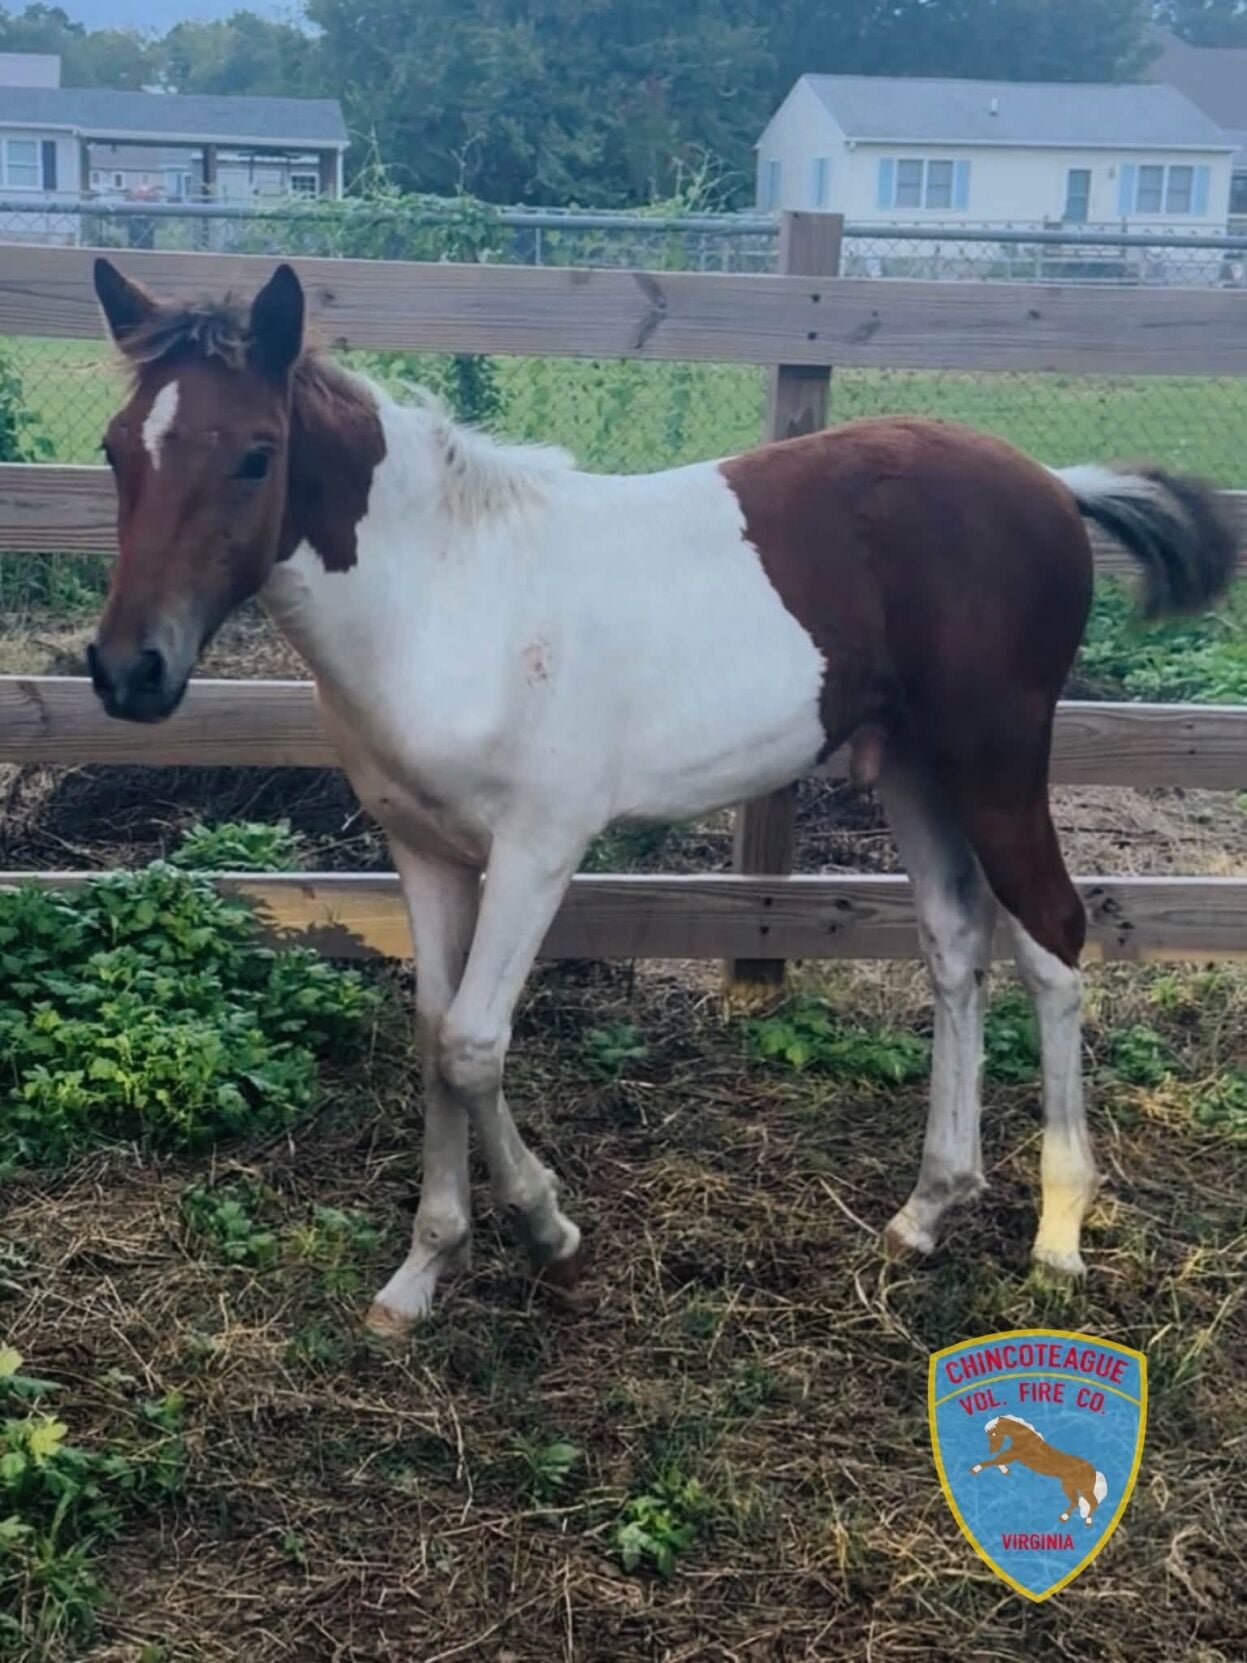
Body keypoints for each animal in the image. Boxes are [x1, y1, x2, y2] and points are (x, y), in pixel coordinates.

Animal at [85, 258, 1237, 1336]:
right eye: (114, 449)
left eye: (254, 452)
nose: (128, 671)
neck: (446, 597)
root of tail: (1050, 482)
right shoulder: (423, 851)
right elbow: (430, 1036)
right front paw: (422, 1272)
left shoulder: (538, 847)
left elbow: (471, 1043)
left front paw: (550, 1233)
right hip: (914, 766)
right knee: (955, 942)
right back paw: (925, 1210)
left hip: (995, 760)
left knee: (1051, 937)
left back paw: (1057, 1233)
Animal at [971, 1414, 1108, 1526]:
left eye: (993, 1433)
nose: (992, 1450)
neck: (1024, 1439)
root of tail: (1094, 1470)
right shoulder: (1012, 1456)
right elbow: (997, 1461)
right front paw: (1005, 1470)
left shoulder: (1013, 1455)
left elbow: (993, 1461)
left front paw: (975, 1469)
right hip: (1075, 1487)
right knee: (1080, 1502)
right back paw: (1067, 1518)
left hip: (1076, 1487)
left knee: (1089, 1502)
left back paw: (1084, 1520)